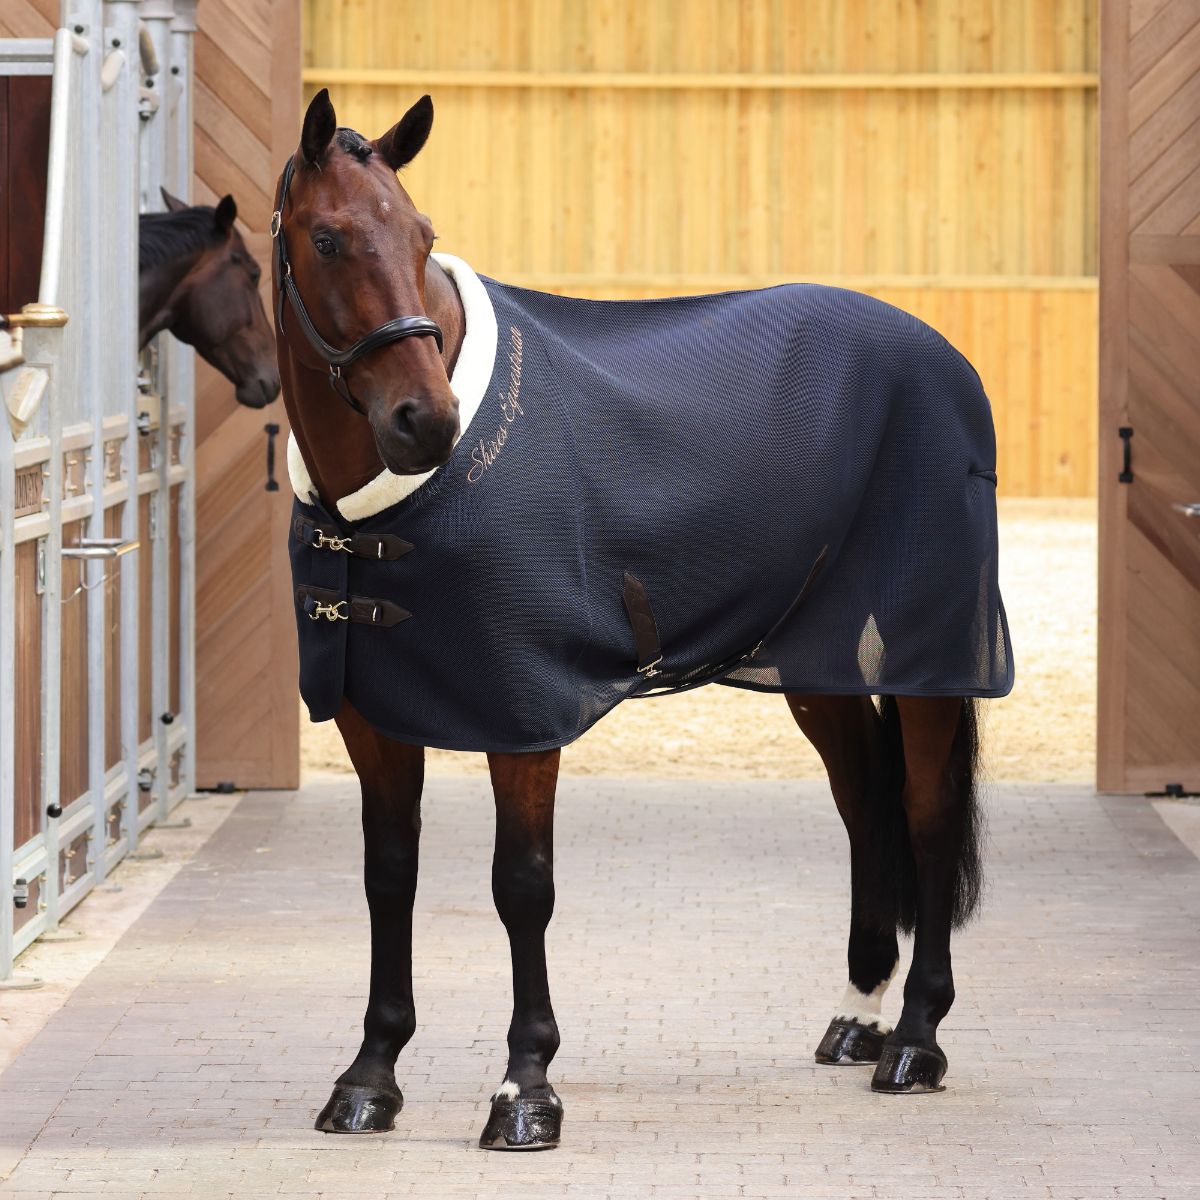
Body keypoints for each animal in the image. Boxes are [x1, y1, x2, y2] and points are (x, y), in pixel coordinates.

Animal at [272, 88, 1007, 1150]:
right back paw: (859, 1016)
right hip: (819, 668)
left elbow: (521, 885)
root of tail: (938, 354)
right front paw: (371, 1076)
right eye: (327, 238)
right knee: (864, 804)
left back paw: (915, 1040)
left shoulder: (525, 717)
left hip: (929, 656)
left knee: (925, 810)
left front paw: (526, 1090)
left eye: (421, 234)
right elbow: (389, 879)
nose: (426, 421)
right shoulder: (374, 721)